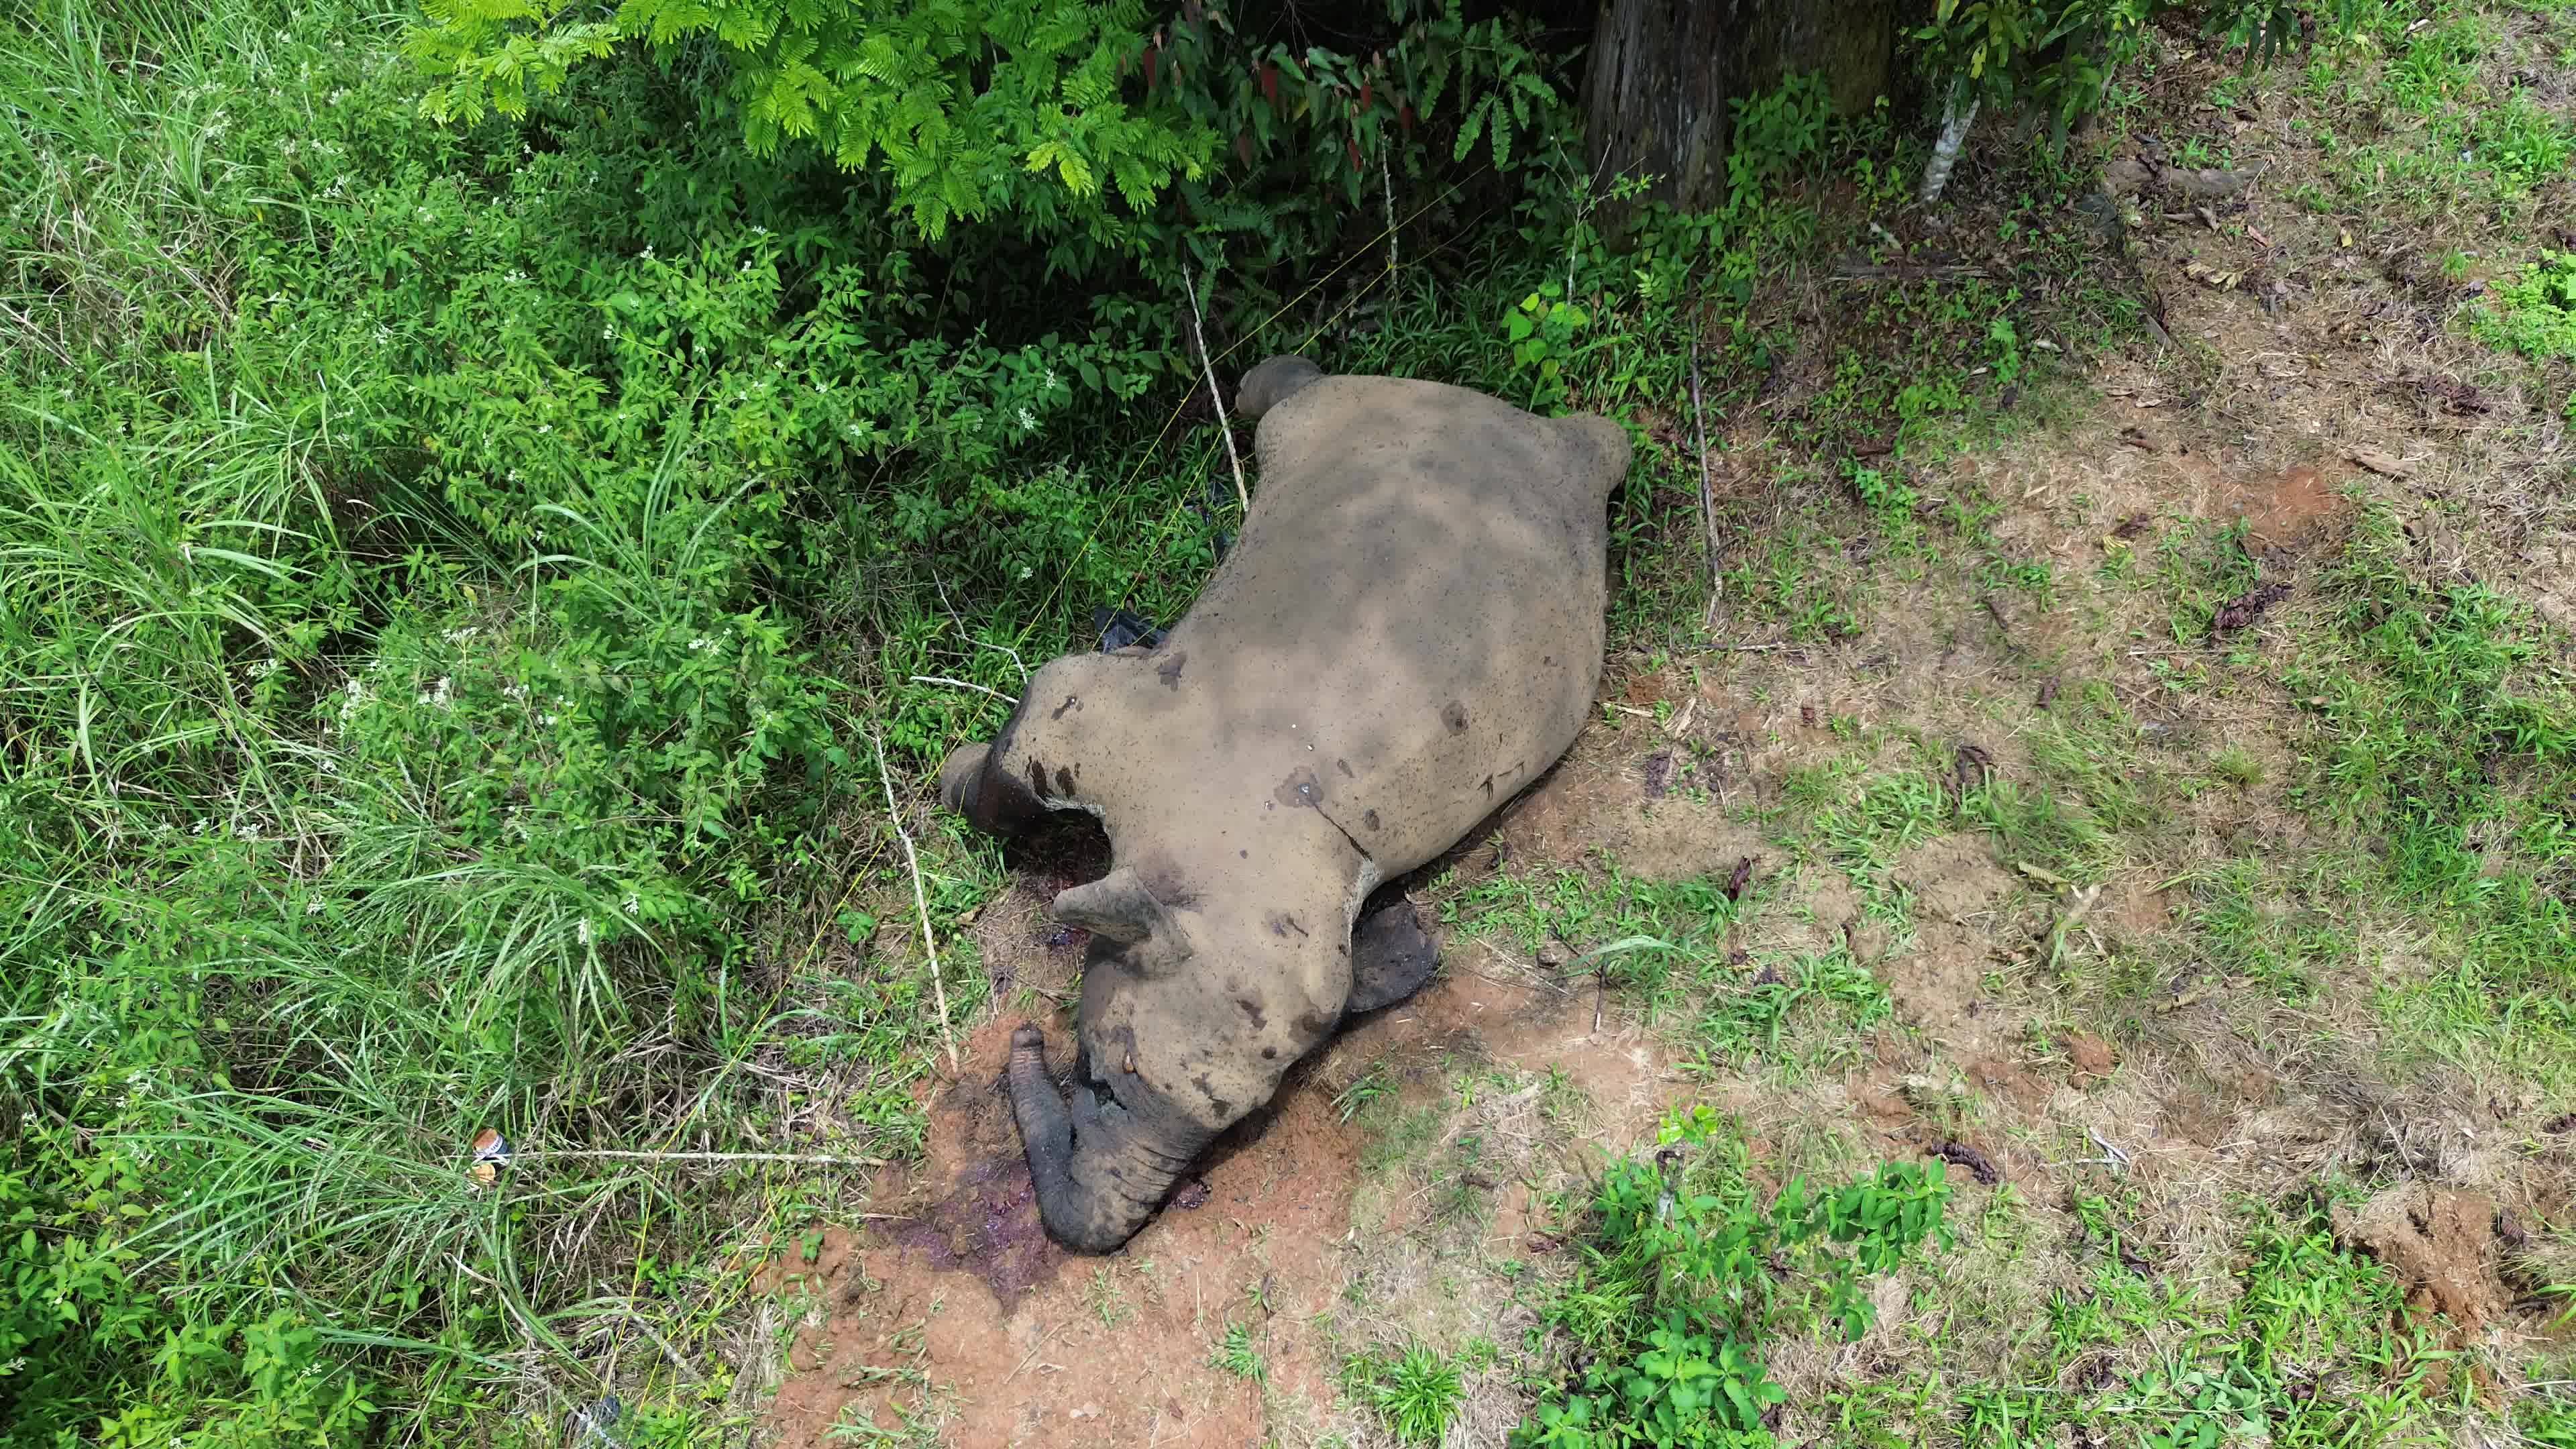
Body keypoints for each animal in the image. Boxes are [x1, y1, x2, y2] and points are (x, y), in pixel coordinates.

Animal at [937, 353, 1631, 1252]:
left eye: (1229, 1130)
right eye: (1110, 1080)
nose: (1027, 1039)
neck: (1237, 836)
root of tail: (1565, 442)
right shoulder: (1073, 710)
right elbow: (997, 788)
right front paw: (950, 773)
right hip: (1334, 409)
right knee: (1276, 387)